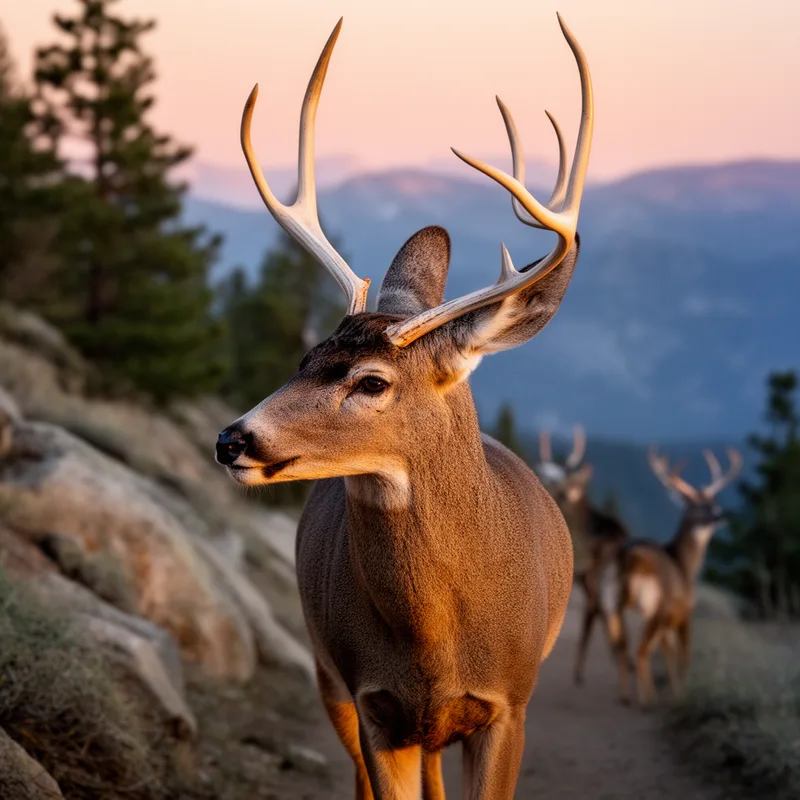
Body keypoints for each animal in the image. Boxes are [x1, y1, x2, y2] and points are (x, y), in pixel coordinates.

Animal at [215, 14, 593, 799]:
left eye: (371, 382)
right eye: (304, 358)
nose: (233, 439)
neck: (434, 643)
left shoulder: (508, 705)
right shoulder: (373, 703)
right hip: (329, 676)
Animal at [535, 425, 630, 686]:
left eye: (567, 483)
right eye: (552, 482)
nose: (563, 497)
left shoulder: (584, 577)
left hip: (597, 578)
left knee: (602, 613)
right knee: (614, 615)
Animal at [604, 447, 743, 708]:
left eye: (714, 502)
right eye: (699, 505)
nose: (723, 514)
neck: (684, 566)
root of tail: (629, 558)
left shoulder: (668, 622)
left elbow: (668, 654)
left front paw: (674, 693)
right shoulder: (684, 613)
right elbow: (683, 657)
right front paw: (681, 696)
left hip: (612, 605)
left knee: (621, 648)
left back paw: (627, 696)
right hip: (653, 606)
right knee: (640, 650)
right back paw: (647, 700)